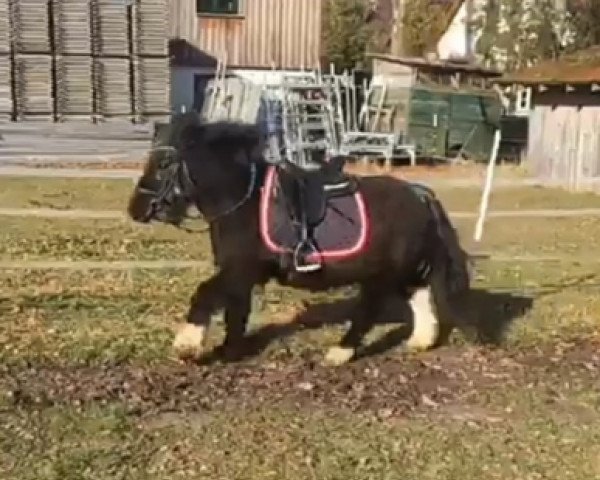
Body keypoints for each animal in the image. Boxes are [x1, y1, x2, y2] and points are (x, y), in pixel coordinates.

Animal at [129, 114, 472, 366]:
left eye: (163, 165)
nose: (135, 209)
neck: (244, 200)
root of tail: (420, 194)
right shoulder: (242, 274)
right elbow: (236, 310)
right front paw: (230, 349)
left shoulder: (242, 268)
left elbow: (205, 294)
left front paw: (187, 344)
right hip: (401, 269)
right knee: (418, 293)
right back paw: (421, 341)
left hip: (382, 274)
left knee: (369, 311)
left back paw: (340, 352)